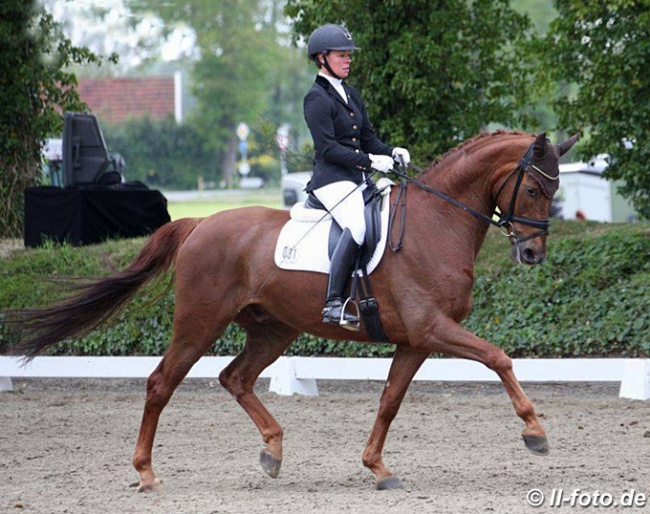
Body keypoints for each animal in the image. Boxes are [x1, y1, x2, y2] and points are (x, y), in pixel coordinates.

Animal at [7, 130, 576, 490]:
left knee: (235, 378)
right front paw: (536, 433)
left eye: (555, 190)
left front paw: (377, 468)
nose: (532, 253)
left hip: (272, 330)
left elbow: (390, 401)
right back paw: (146, 473)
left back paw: (273, 451)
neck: (437, 223)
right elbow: (499, 358)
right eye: (532, 187)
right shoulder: (432, 328)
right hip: (199, 322)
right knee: (161, 383)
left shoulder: (415, 339)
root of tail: (199, 224)